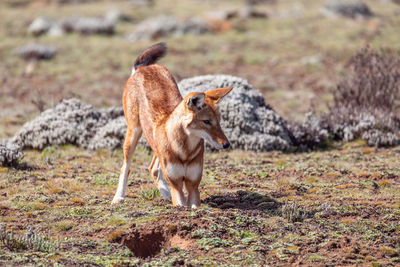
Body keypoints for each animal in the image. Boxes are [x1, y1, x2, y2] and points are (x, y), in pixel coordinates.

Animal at [111, 43, 233, 208]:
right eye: (207, 122)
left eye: (219, 121)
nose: (226, 144)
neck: (185, 151)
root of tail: (142, 68)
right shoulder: (177, 186)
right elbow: (180, 203)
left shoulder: (193, 186)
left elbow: (193, 204)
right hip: (133, 135)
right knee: (126, 167)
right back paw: (119, 197)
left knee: (153, 168)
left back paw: (165, 194)